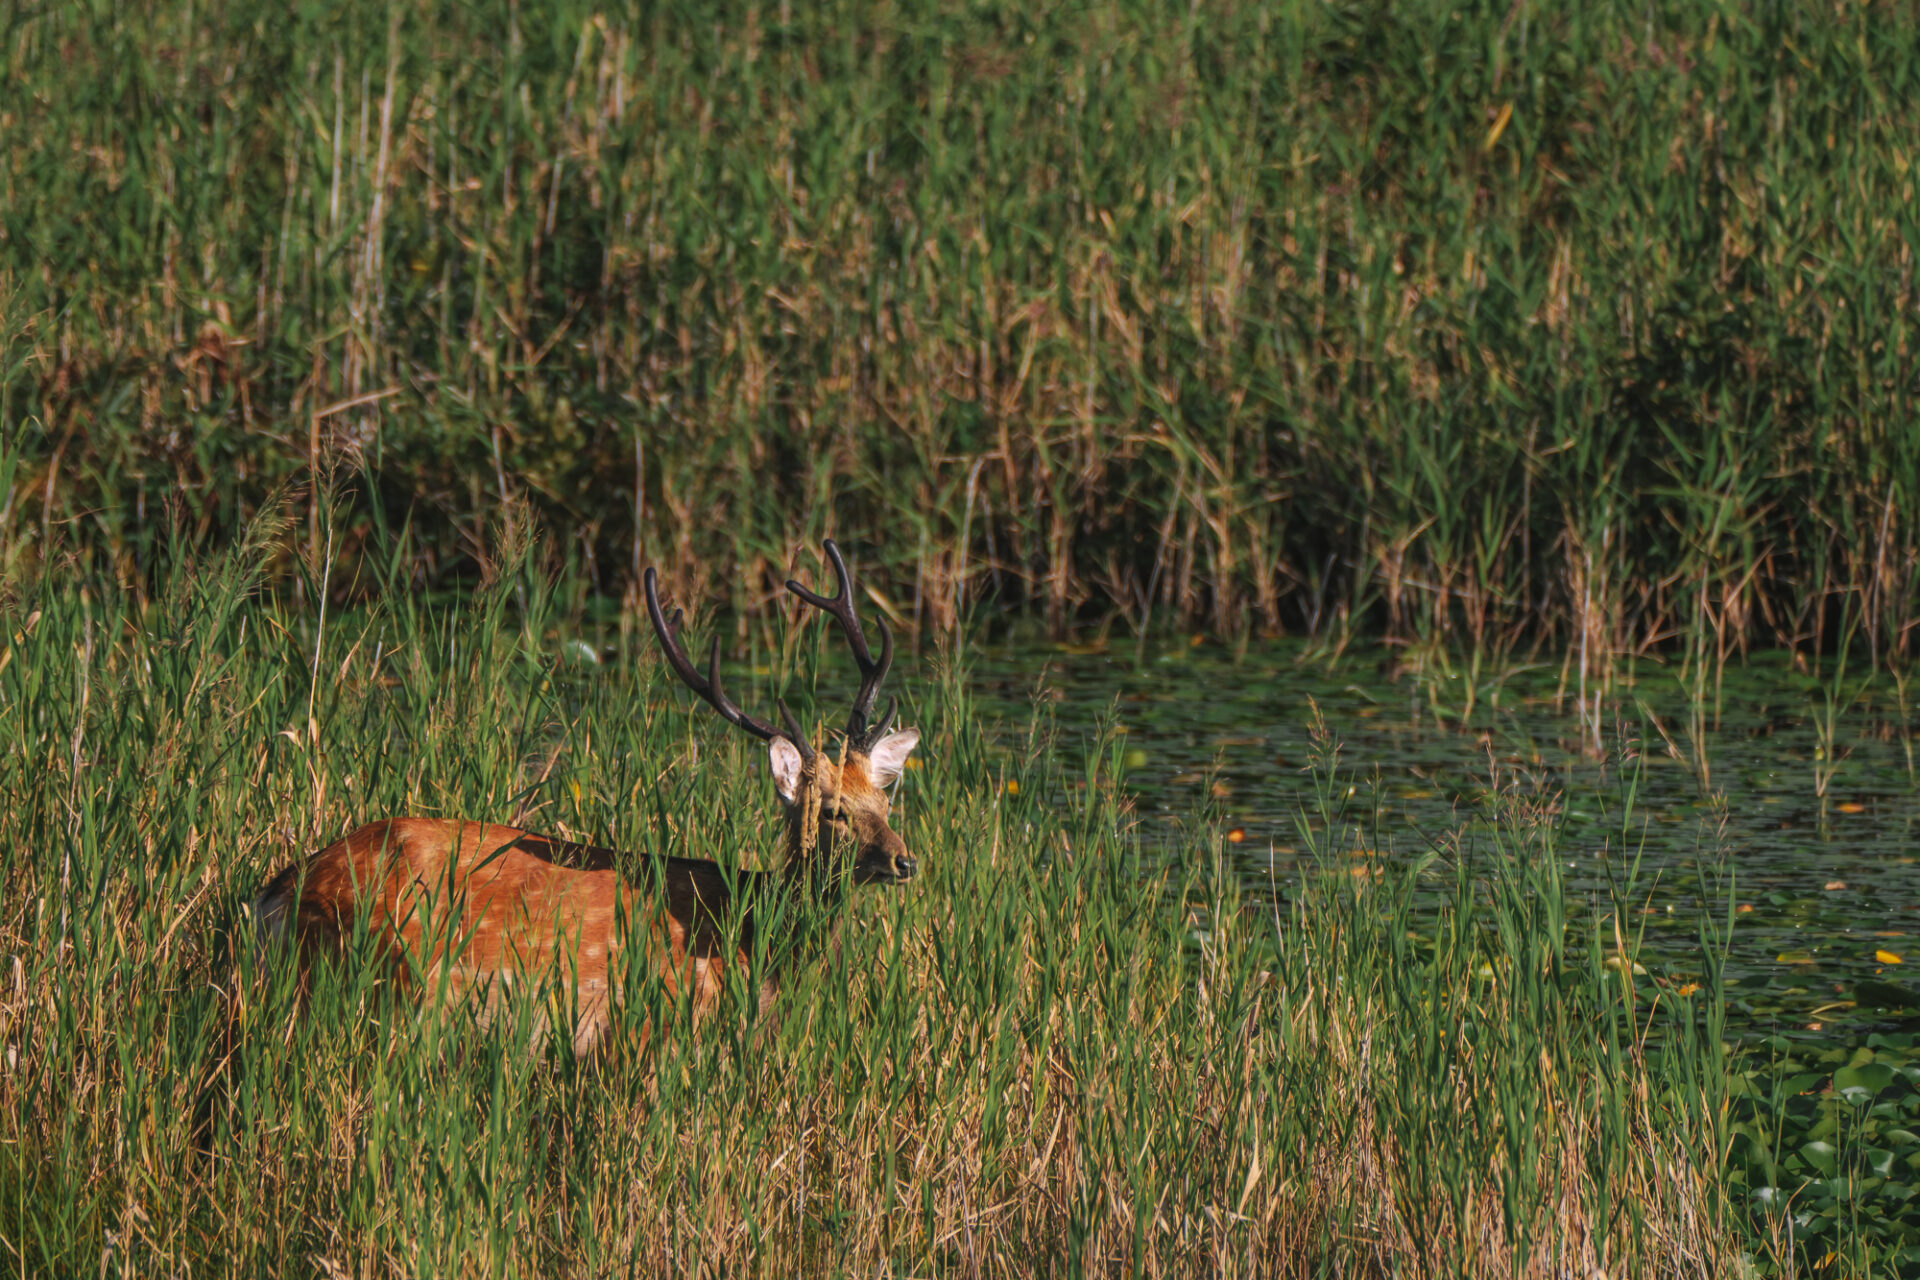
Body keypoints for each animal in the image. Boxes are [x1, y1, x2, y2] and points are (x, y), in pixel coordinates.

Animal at [245, 541, 921, 1051]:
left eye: (886, 804)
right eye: (831, 812)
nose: (904, 860)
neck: (754, 939)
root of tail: (276, 892)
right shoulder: (647, 1029)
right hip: (384, 980)